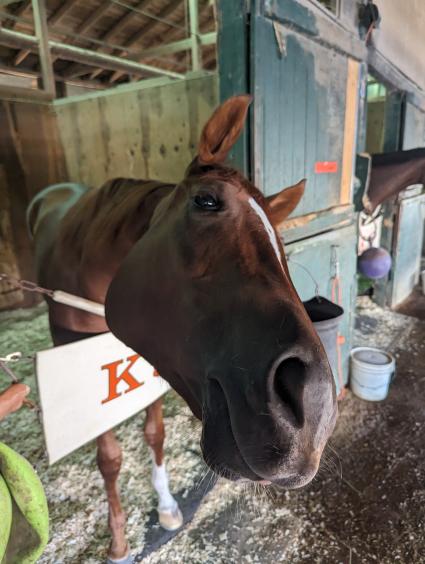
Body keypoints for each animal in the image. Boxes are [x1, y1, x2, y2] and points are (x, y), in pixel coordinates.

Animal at [28, 94, 336, 560]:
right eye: (205, 201)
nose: (313, 407)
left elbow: (154, 433)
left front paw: (168, 507)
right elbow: (109, 457)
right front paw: (119, 541)